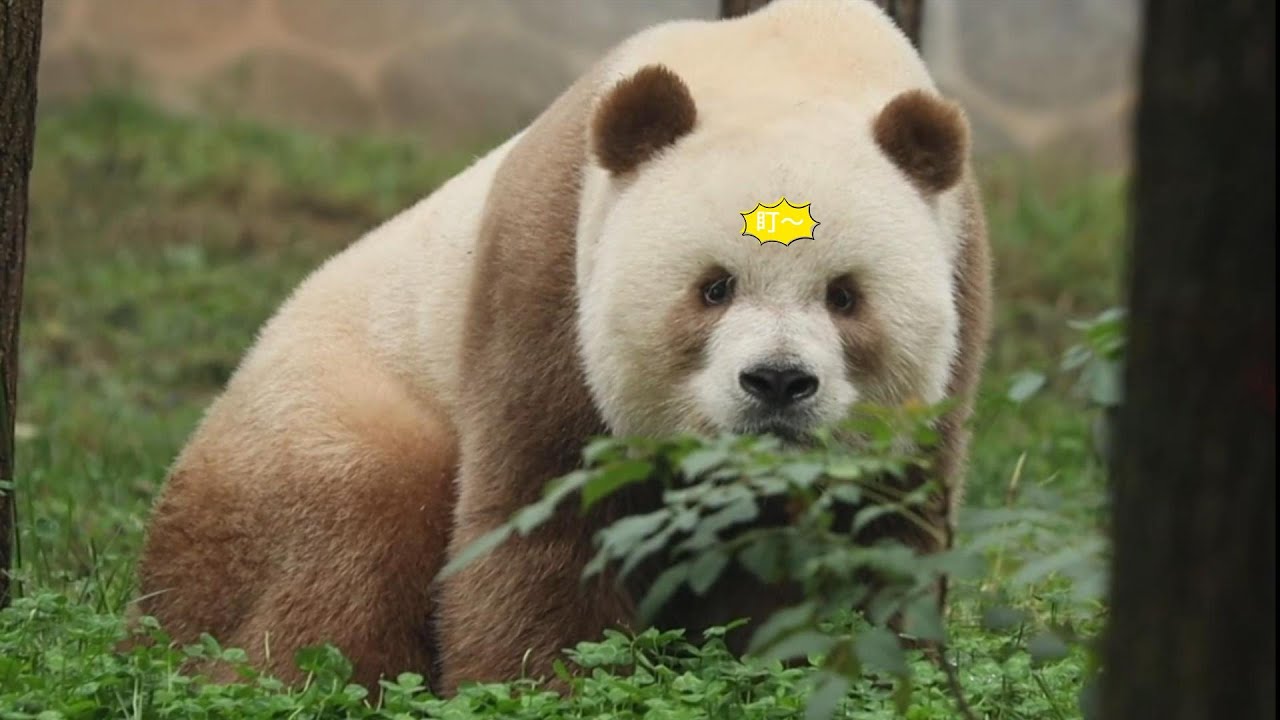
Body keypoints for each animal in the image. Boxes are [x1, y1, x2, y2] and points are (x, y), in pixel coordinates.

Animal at [134, 0, 991, 695]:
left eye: (845, 296)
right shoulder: (549, 269)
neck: (798, 58)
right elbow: (545, 515)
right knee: (337, 544)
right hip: (328, 406)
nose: (778, 382)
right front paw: (547, 686)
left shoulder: (958, 291)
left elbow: (879, 536)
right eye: (713, 288)